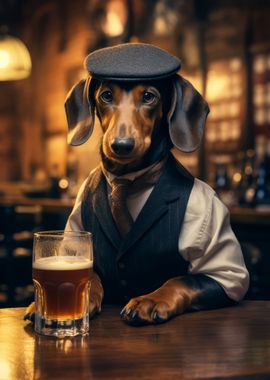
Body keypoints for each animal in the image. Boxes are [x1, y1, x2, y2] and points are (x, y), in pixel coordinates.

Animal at [25, 43, 249, 324]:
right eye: (106, 95)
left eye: (149, 97)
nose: (121, 145)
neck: (128, 179)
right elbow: (92, 274)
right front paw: (58, 302)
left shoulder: (228, 279)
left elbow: (182, 280)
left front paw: (150, 300)